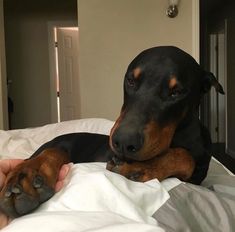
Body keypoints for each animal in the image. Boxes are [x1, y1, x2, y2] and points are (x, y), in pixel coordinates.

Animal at [0, 45, 224, 218]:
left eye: (176, 92)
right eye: (130, 80)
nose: (123, 142)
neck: (177, 136)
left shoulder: (197, 178)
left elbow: (186, 157)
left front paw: (141, 166)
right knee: (51, 151)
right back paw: (28, 174)